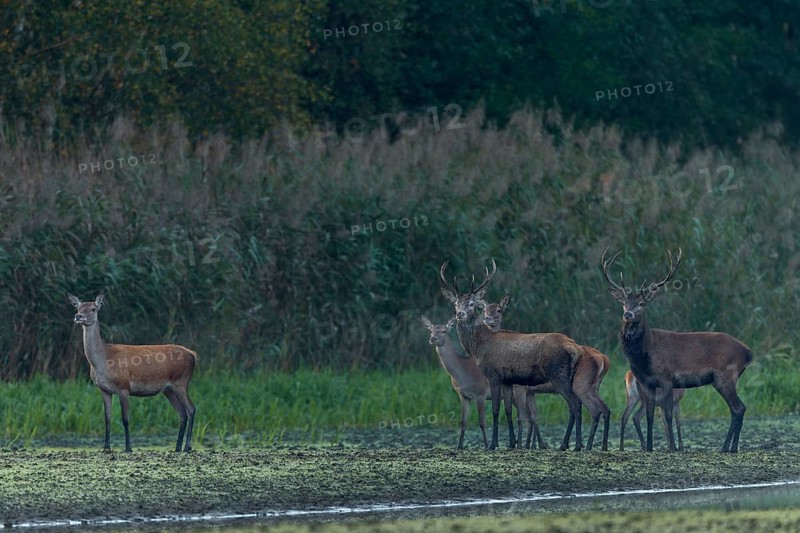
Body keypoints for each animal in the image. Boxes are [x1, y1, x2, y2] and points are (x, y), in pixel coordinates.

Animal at [68, 292, 197, 453]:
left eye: (93, 308)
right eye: (78, 307)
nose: (78, 316)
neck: (103, 360)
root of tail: (193, 354)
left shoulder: (124, 387)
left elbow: (125, 419)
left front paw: (128, 447)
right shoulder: (104, 389)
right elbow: (107, 418)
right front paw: (106, 447)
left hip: (181, 381)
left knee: (191, 409)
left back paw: (187, 447)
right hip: (168, 389)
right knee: (182, 413)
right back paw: (177, 447)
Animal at [421, 316, 540, 449]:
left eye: (444, 331)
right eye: (431, 330)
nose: (433, 338)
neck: (461, 374)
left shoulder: (480, 393)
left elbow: (482, 422)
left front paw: (487, 445)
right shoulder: (463, 395)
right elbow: (463, 421)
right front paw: (459, 446)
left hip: (520, 390)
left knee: (526, 416)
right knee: (530, 416)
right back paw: (529, 445)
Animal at [440, 259, 584, 451]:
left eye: (471, 303)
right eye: (455, 303)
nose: (459, 314)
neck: (478, 347)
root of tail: (574, 347)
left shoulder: (493, 375)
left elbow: (495, 410)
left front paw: (493, 444)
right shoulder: (508, 380)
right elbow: (508, 410)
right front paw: (510, 443)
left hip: (558, 374)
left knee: (575, 403)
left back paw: (575, 445)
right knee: (573, 405)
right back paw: (568, 444)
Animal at [483, 293, 611, 451]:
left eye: (499, 310)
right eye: (484, 310)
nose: (488, 319)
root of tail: (604, 358)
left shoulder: (520, 388)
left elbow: (523, 418)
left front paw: (521, 445)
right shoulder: (530, 392)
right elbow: (533, 417)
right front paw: (532, 445)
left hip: (580, 384)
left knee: (591, 410)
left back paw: (582, 445)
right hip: (593, 386)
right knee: (603, 409)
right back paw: (597, 445)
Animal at [602, 248, 752, 452]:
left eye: (641, 303)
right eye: (624, 302)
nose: (628, 314)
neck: (644, 355)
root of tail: (748, 352)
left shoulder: (667, 378)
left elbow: (667, 416)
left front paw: (672, 447)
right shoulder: (646, 382)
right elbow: (650, 416)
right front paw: (649, 448)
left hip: (726, 376)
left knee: (738, 408)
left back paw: (727, 448)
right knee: (739, 408)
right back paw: (730, 448)